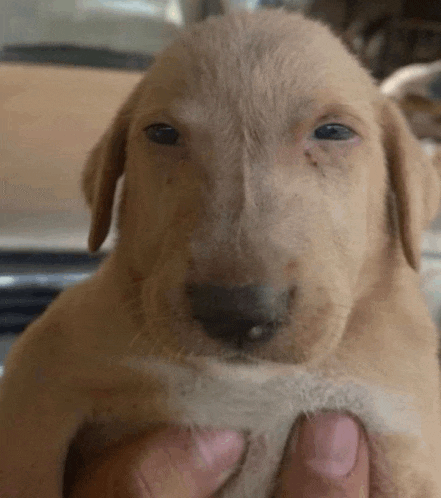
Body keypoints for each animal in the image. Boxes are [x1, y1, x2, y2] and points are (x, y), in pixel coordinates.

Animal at [0, 8, 440, 498]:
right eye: (162, 133)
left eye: (334, 131)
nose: (236, 312)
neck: (255, 383)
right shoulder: (41, 375)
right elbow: (25, 466)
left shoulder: (403, 434)